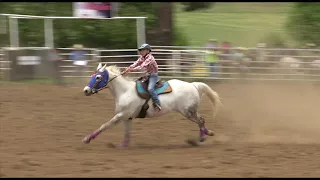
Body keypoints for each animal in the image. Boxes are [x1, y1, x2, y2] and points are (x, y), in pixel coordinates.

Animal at [82, 63, 221, 146]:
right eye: (92, 76)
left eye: (98, 77)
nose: (86, 90)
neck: (124, 91)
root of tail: (193, 85)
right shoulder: (127, 118)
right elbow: (127, 133)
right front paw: (123, 145)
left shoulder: (121, 115)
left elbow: (104, 125)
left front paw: (87, 139)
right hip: (191, 111)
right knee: (201, 121)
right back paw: (207, 134)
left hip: (188, 112)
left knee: (201, 121)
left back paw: (202, 138)